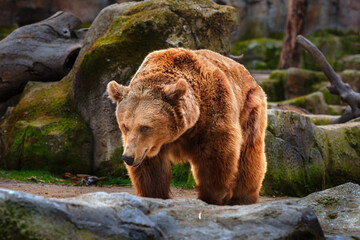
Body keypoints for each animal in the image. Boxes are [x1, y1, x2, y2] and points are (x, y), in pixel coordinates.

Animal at [107, 47, 268, 205]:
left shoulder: (212, 111)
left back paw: (242, 197)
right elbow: (151, 169)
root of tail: (246, 71)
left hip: (249, 106)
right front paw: (154, 195)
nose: (128, 158)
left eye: (145, 127)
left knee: (249, 153)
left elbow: (215, 155)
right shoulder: (148, 145)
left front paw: (212, 196)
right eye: (125, 126)